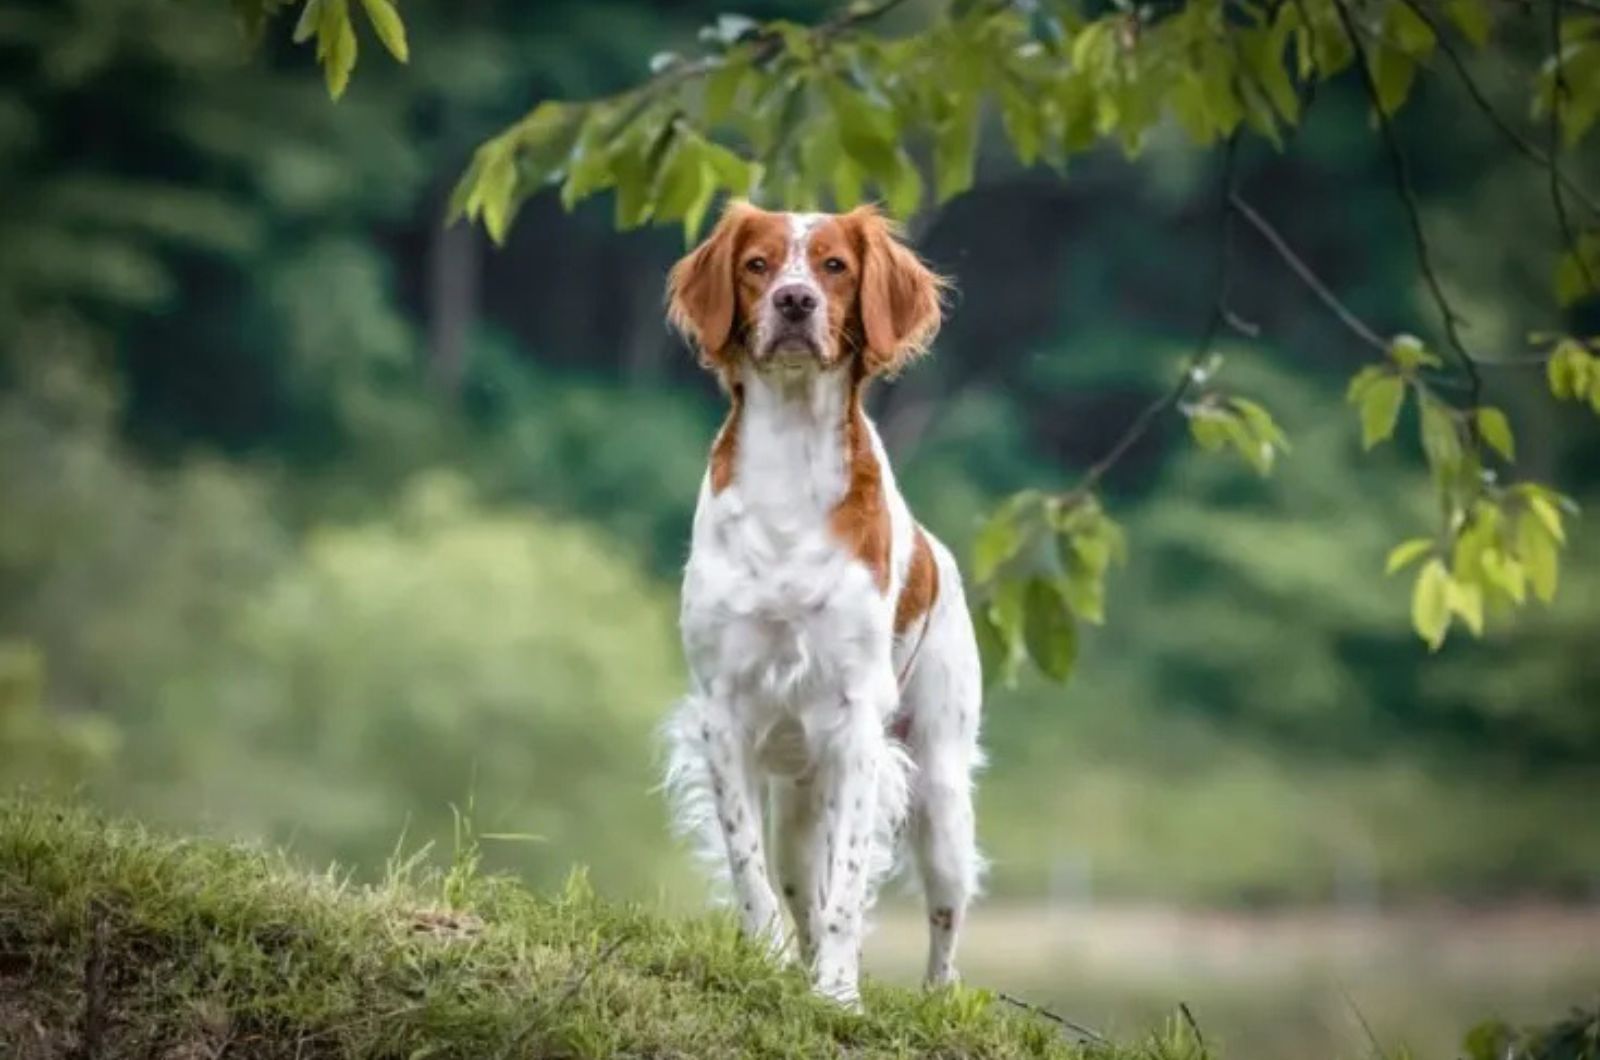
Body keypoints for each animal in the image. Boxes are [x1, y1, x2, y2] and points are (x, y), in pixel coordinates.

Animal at [662, 203, 985, 1011]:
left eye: (835, 265)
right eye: (757, 264)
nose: (795, 301)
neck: (790, 457)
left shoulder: (857, 722)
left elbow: (848, 885)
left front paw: (838, 992)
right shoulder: (724, 712)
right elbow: (749, 867)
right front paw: (771, 964)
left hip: (941, 794)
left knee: (944, 924)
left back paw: (933, 996)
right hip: (799, 807)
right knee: (795, 882)